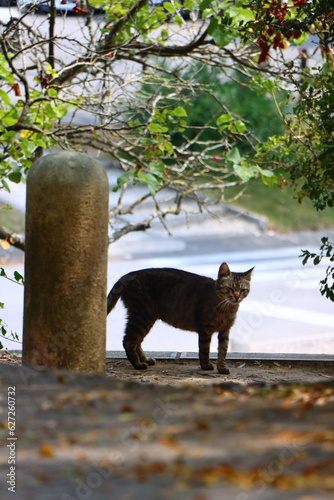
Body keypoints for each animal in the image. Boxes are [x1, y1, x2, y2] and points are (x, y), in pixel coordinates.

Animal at [107, 264, 253, 374]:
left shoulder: (225, 331)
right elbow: (204, 349)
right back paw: (138, 364)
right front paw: (206, 365)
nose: (237, 296)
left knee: (137, 342)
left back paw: (145, 360)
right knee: (128, 341)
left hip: (144, 319)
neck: (226, 307)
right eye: (230, 288)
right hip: (142, 316)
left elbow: (223, 351)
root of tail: (130, 274)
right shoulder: (205, 329)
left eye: (243, 290)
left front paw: (222, 368)